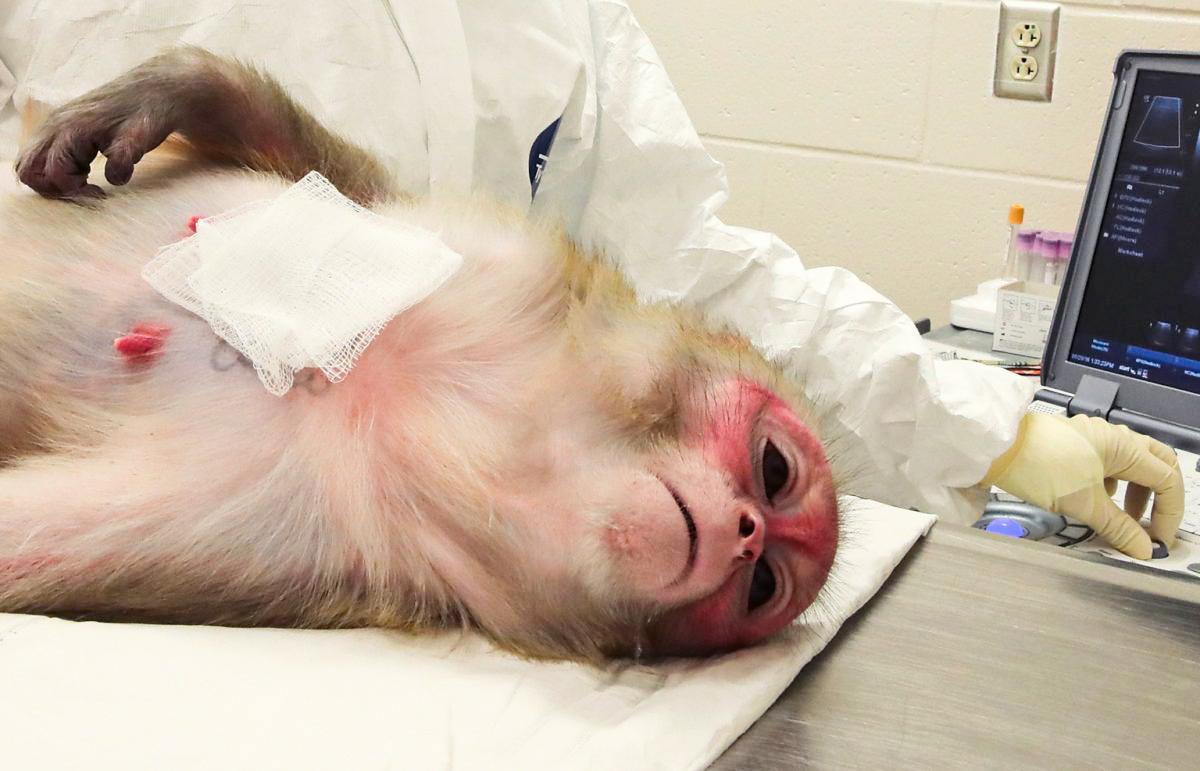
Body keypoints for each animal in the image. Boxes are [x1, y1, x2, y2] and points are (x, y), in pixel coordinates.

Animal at [0, 48, 839, 661]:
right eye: (775, 469)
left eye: (762, 585)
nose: (745, 531)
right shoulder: (491, 257)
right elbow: (326, 177)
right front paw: (172, 89)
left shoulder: (306, 546)